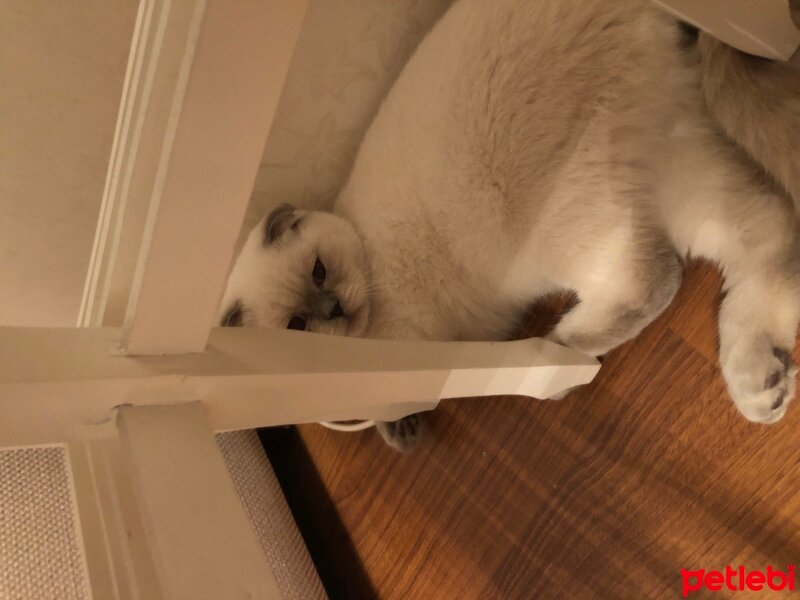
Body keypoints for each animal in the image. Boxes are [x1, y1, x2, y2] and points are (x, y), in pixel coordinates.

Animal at [220, 0, 800, 450]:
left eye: (318, 272)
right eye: (297, 325)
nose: (333, 309)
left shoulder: (403, 347)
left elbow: (391, 400)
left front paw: (400, 431)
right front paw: (403, 434)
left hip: (555, 224)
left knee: (655, 279)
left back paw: (559, 355)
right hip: (678, 162)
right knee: (770, 231)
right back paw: (764, 384)